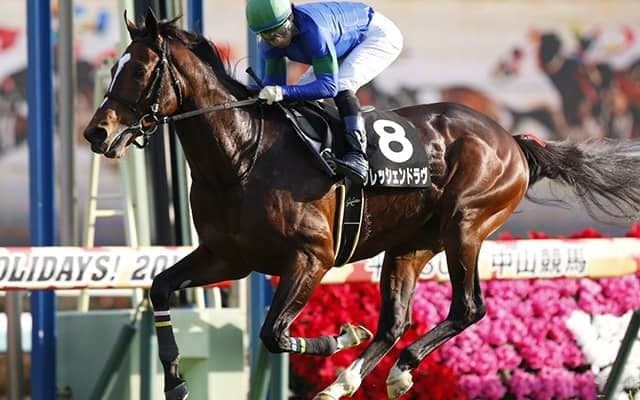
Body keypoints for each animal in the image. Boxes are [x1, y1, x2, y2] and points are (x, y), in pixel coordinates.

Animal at [82, 11, 640, 400]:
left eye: (140, 69)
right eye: (113, 67)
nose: (96, 133)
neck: (243, 156)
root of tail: (513, 140)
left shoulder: (310, 256)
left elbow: (273, 333)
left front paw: (340, 335)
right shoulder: (228, 257)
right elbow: (160, 287)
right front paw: (175, 380)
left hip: (466, 225)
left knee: (468, 306)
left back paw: (398, 371)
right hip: (411, 244)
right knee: (395, 321)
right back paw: (347, 381)